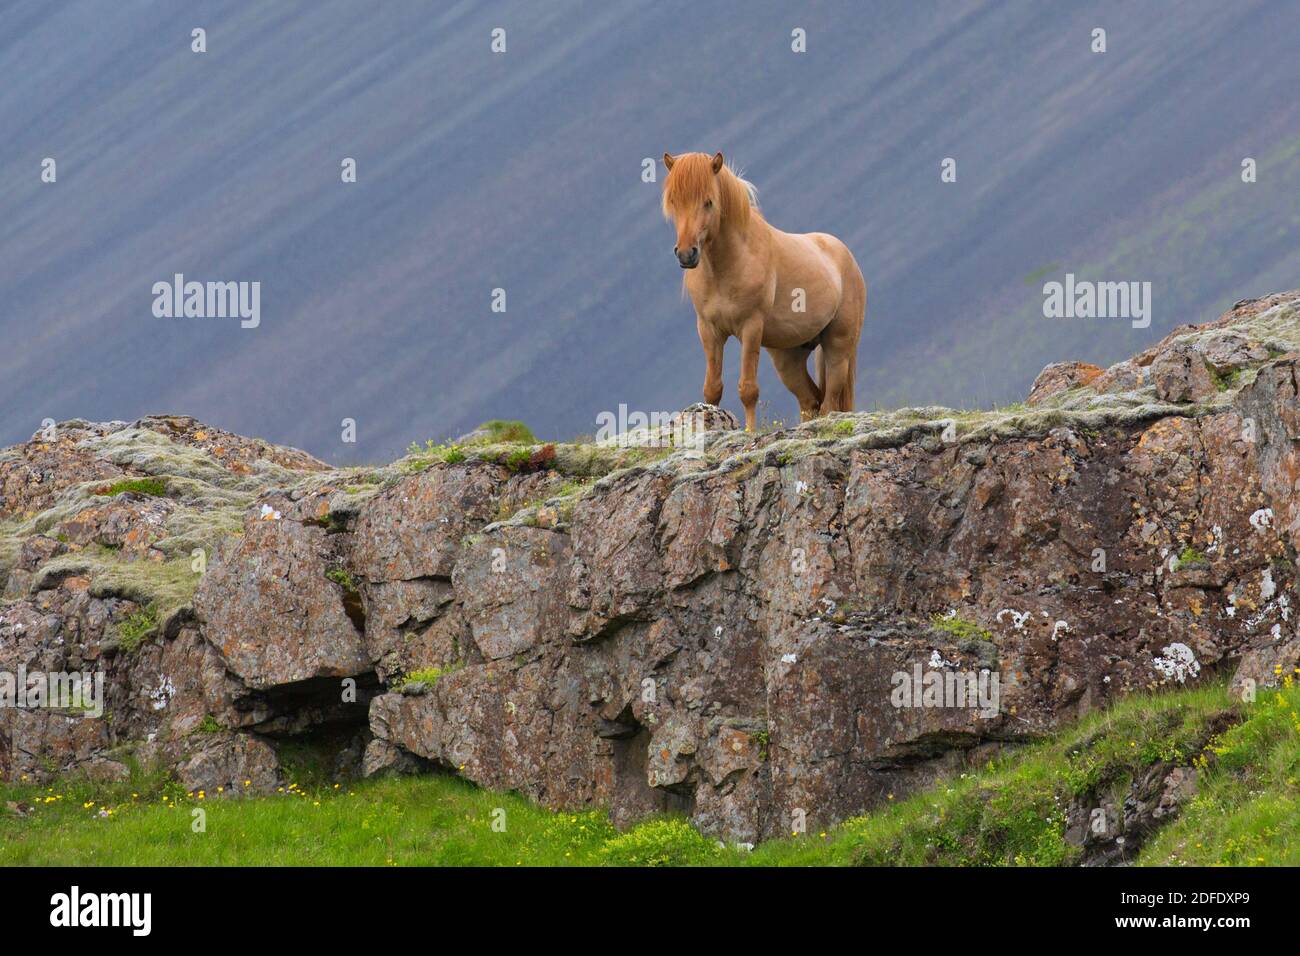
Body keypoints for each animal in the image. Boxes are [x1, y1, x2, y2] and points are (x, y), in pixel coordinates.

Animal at [661, 151, 867, 432]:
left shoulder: (750, 328)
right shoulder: (709, 330)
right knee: (810, 400)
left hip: (838, 347)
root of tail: (846, 256)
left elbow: (748, 389)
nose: (686, 253)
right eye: (673, 201)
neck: (730, 264)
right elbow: (712, 389)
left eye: (708, 202)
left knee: (829, 402)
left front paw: (749, 431)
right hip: (788, 357)